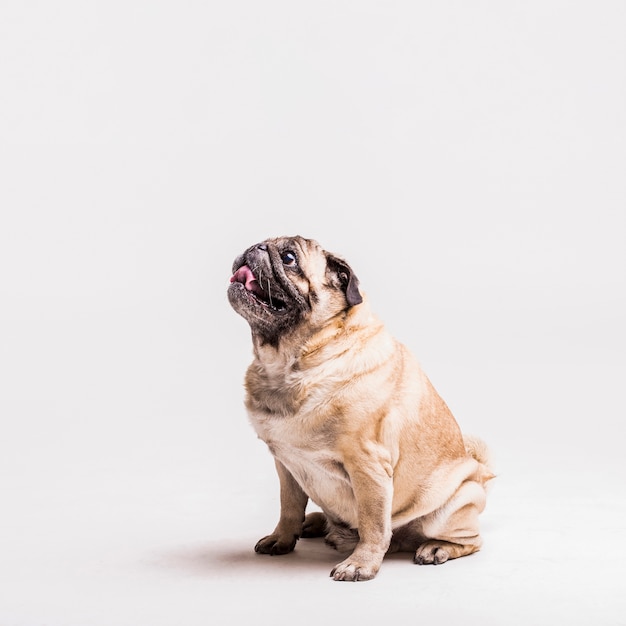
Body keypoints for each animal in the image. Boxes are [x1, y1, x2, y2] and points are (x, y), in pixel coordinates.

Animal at [225, 235, 492, 580]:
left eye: (288, 258)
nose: (254, 248)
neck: (290, 362)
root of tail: (481, 474)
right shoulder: (286, 465)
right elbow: (288, 507)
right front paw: (281, 538)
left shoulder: (368, 464)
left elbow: (373, 524)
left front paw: (361, 564)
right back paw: (314, 522)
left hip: (448, 510)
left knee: (470, 540)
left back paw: (437, 548)